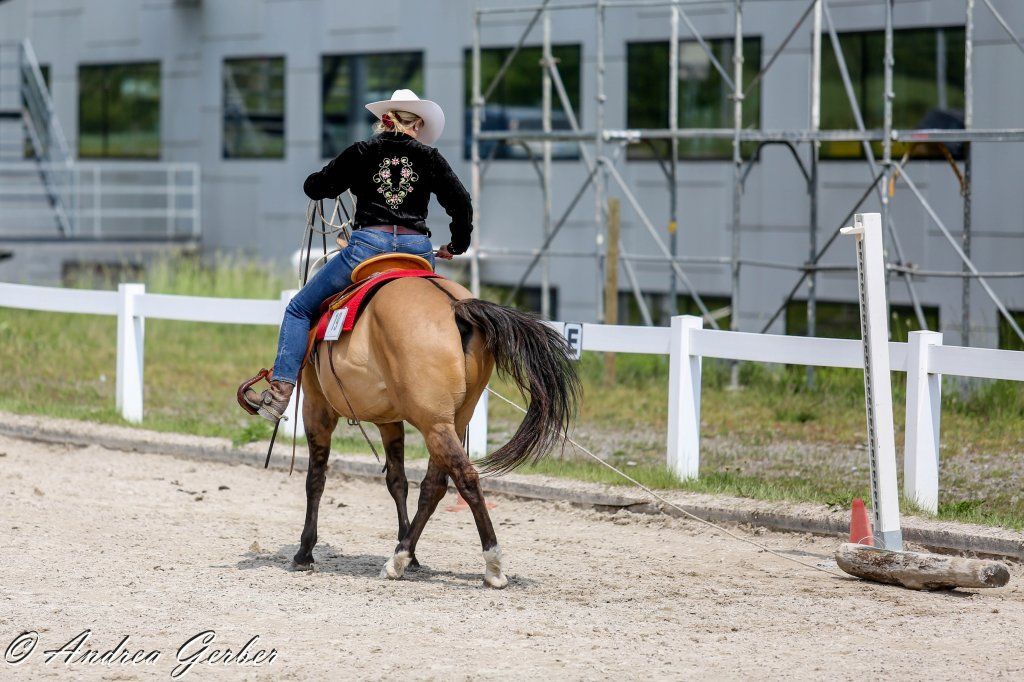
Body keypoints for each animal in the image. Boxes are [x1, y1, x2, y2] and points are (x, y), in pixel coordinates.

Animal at [291, 274, 580, 588]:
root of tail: (454, 306)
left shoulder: (316, 407)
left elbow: (315, 479)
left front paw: (305, 551)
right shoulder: (389, 420)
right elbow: (397, 481)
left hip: (434, 424)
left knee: (465, 479)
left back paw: (491, 566)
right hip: (451, 423)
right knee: (434, 486)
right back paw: (401, 557)